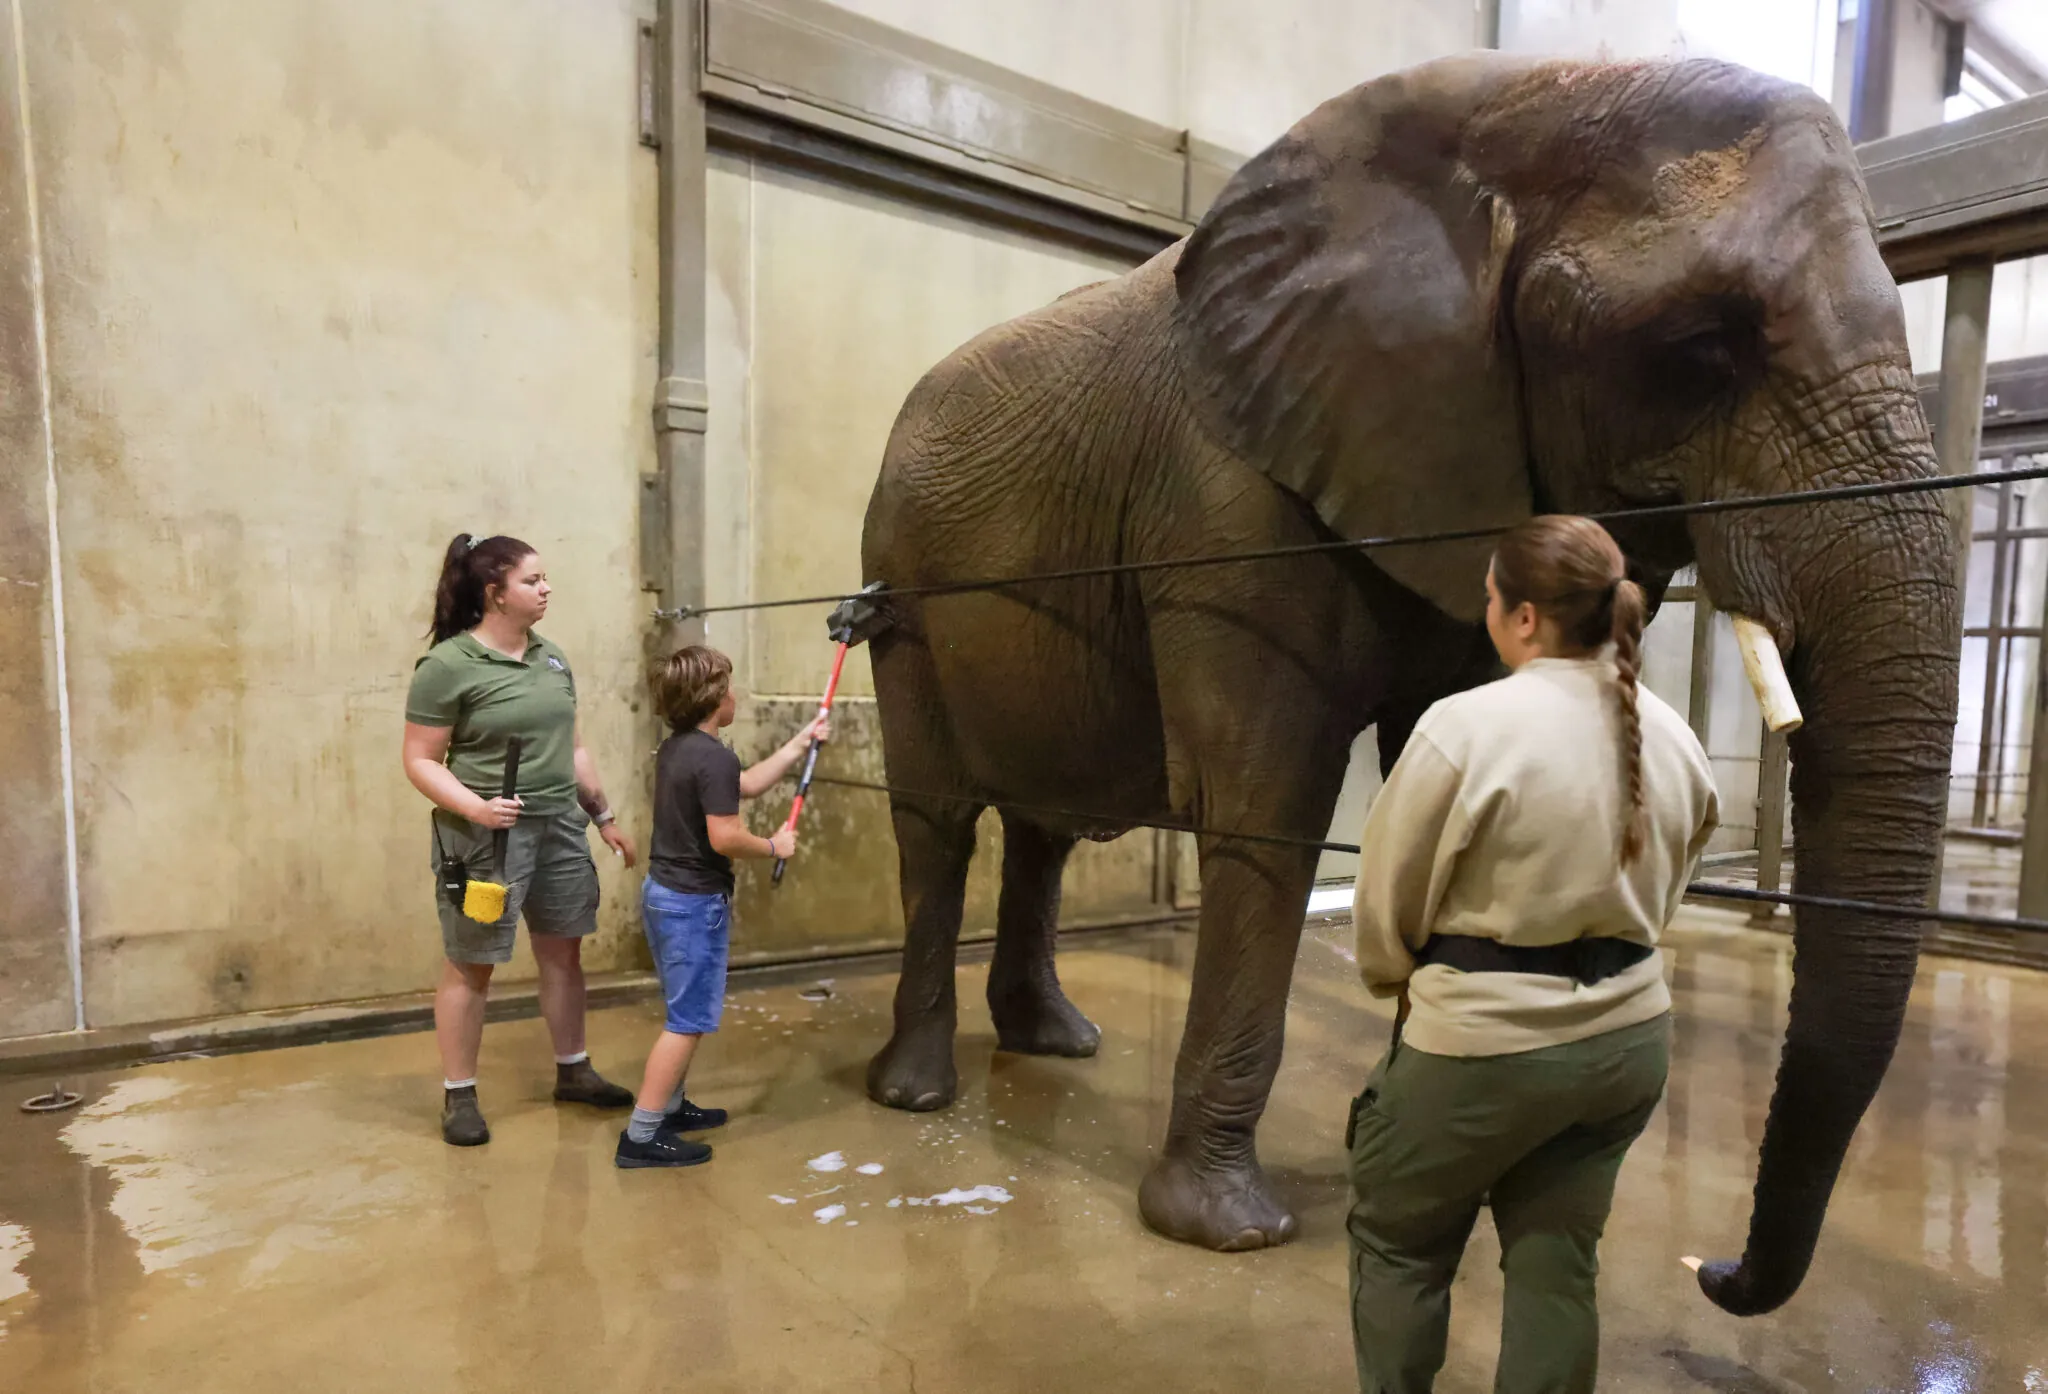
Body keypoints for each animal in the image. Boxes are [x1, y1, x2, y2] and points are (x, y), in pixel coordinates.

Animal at [843, 54, 1949, 1318]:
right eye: (1699, 350)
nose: (1712, 1270)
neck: (1510, 109)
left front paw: (1414, 1153)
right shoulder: (1230, 510)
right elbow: (1264, 815)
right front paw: (1224, 1230)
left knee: (1042, 826)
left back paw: (1055, 1044)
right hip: (899, 587)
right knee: (936, 818)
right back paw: (915, 1093)